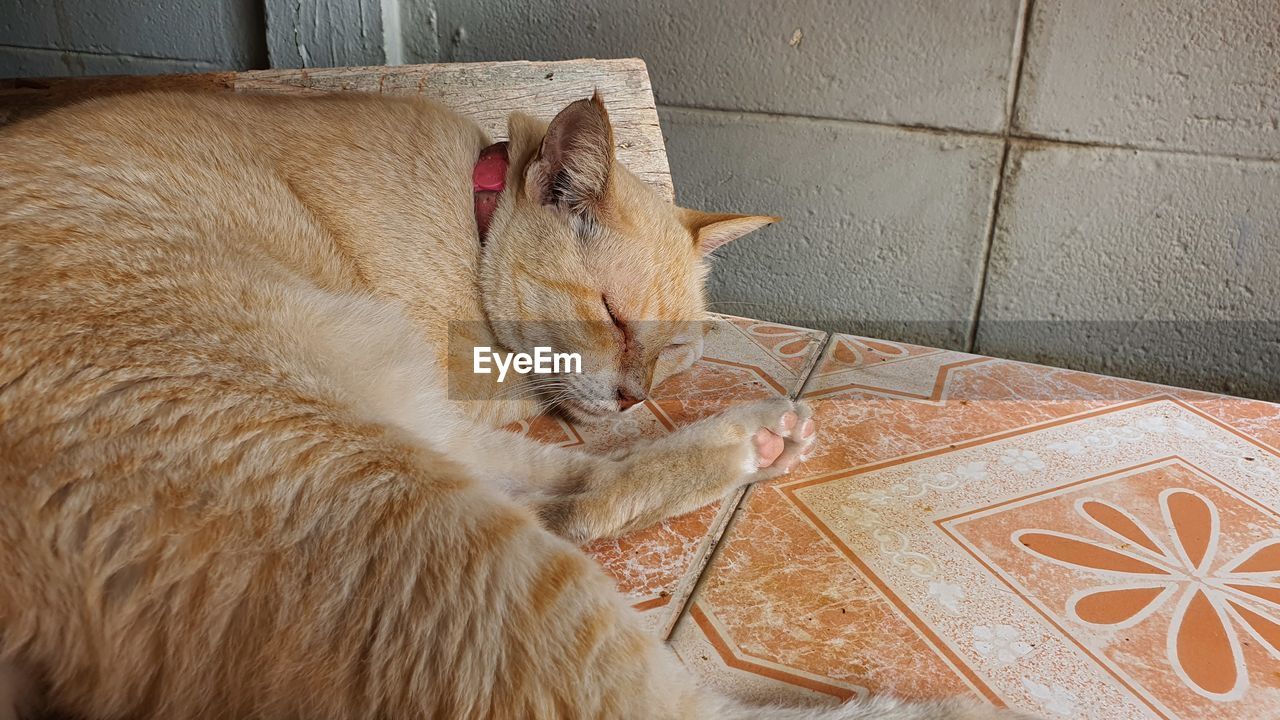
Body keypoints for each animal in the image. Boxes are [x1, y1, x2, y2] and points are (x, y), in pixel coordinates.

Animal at [0, 90, 1024, 717]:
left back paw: (756, 438)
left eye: (675, 348)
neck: (471, 215)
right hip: (376, 478)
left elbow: (583, 463)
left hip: (391, 436)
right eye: (614, 317)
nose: (635, 392)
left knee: (580, 500)